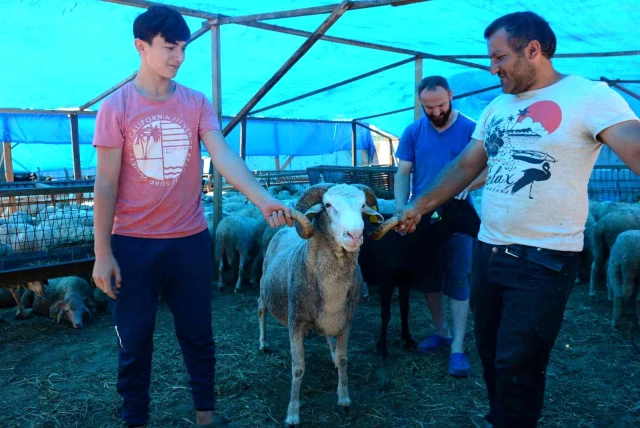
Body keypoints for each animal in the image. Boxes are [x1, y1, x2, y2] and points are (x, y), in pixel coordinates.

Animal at [258, 182, 398, 426]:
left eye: (363, 205)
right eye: (328, 205)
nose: (355, 234)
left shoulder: (345, 322)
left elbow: (343, 360)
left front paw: (344, 399)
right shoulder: (295, 322)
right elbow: (298, 369)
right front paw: (292, 413)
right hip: (264, 286)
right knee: (261, 309)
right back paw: (263, 343)